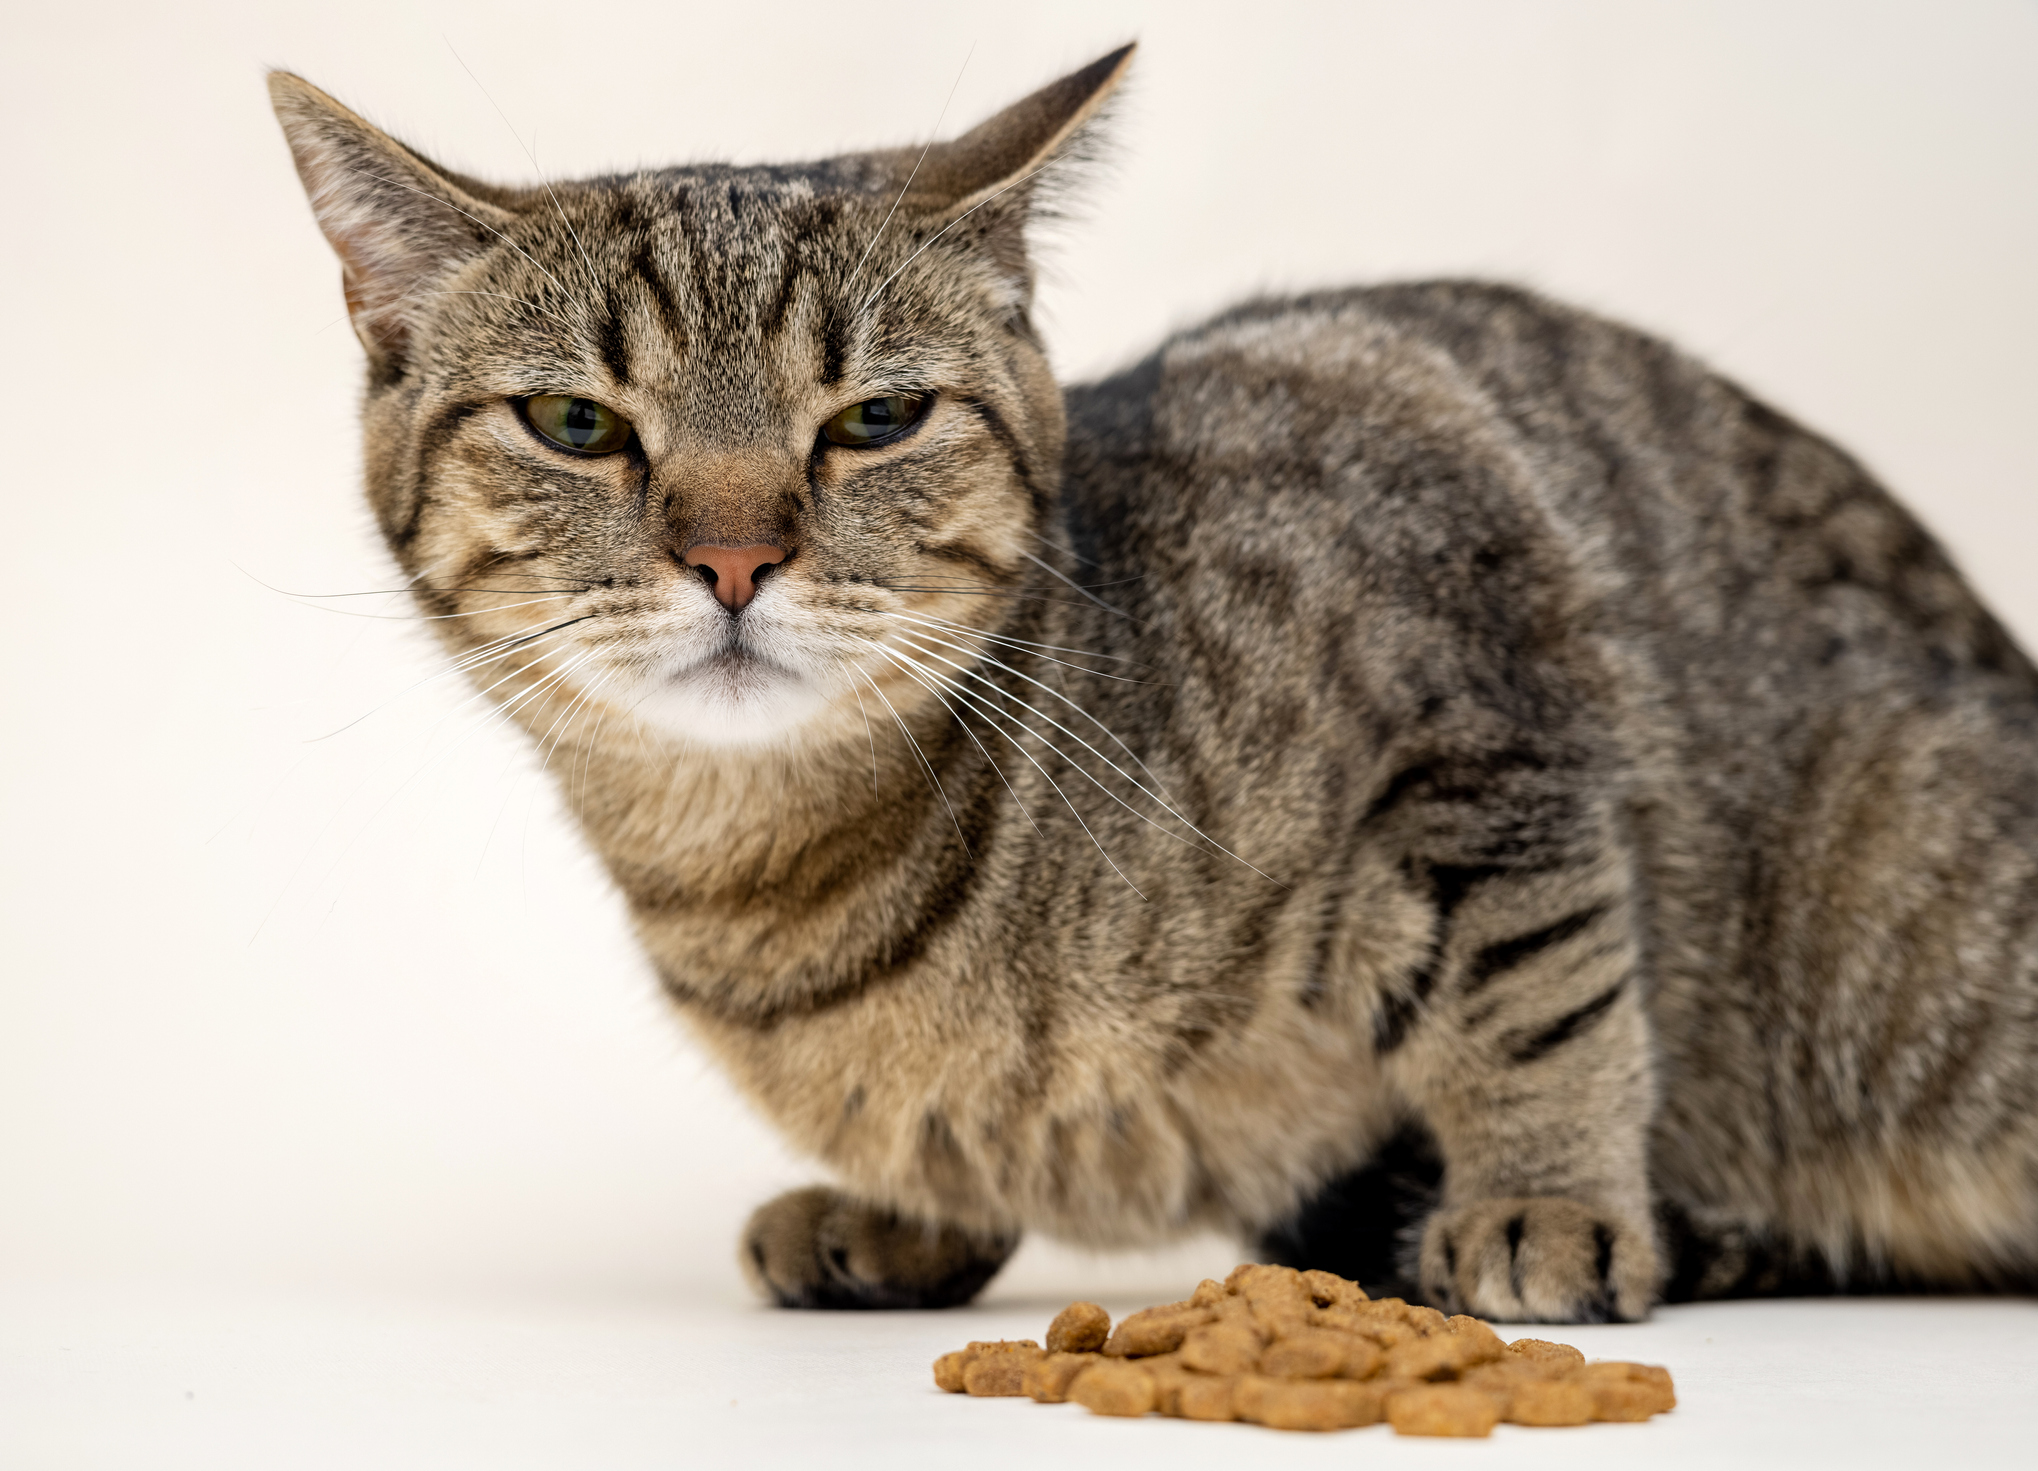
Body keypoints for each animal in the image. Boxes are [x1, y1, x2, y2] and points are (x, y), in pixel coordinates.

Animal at [271, 48, 2038, 1320]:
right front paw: (903, 1210)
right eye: (576, 423)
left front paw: (1545, 1192)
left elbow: (1537, 992)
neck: (796, 889)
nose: (731, 555)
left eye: (876, 418)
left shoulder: (1465, 654)